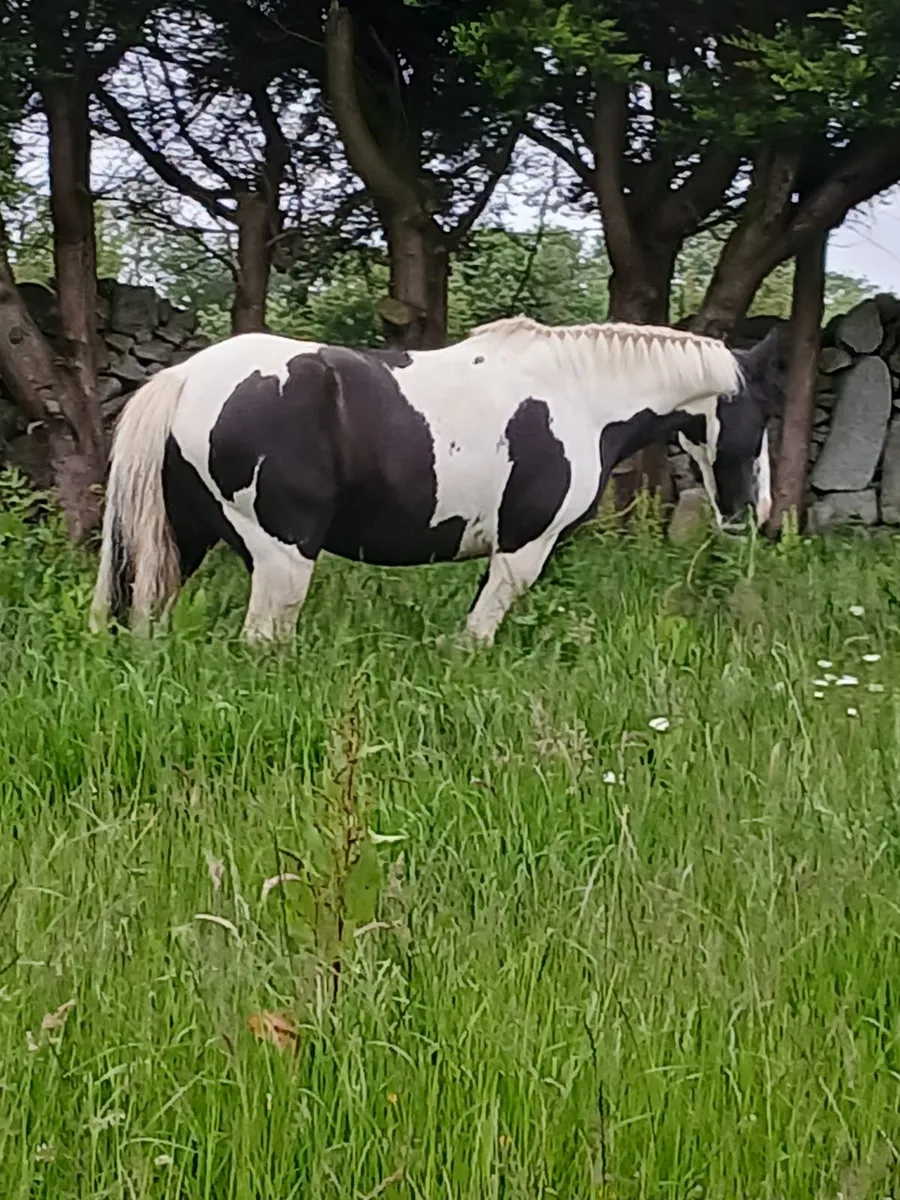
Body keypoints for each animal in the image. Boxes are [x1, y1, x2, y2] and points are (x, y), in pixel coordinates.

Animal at [89, 316, 780, 646]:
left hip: (184, 542)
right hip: (283, 556)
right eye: (766, 413)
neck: (580, 396)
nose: (759, 512)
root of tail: (185, 377)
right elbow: (477, 635)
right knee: (262, 640)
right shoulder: (525, 547)